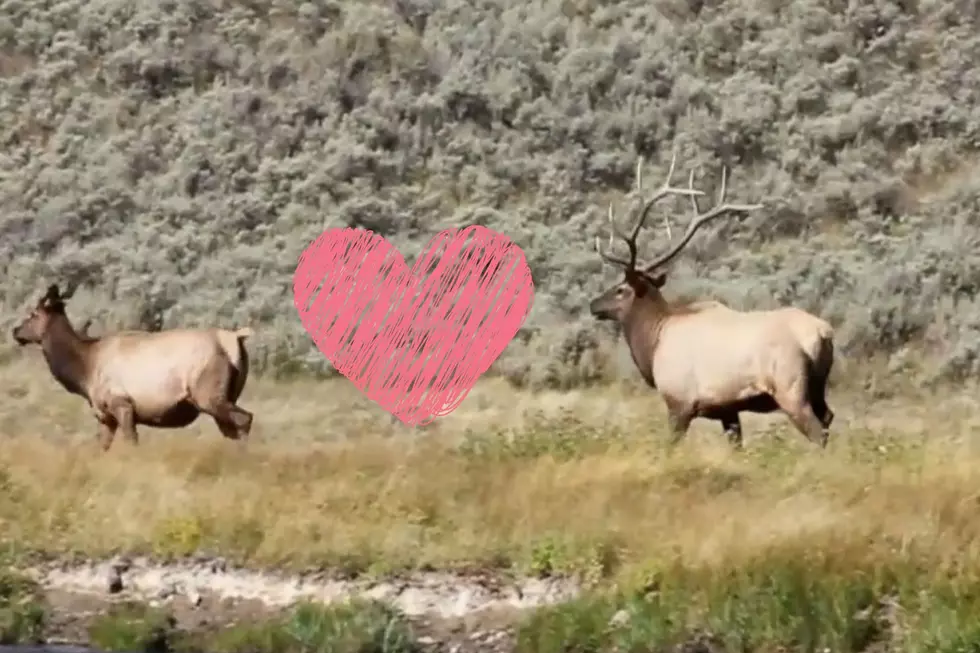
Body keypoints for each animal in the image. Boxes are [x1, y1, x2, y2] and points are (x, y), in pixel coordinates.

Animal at [11, 283, 256, 451]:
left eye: (33, 314)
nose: (15, 331)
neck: (84, 370)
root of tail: (236, 338)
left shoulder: (122, 404)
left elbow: (131, 442)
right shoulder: (104, 416)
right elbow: (101, 447)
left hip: (208, 394)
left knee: (245, 419)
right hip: (227, 395)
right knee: (232, 429)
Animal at [588, 153, 836, 449]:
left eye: (620, 289)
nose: (593, 304)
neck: (653, 342)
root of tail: (823, 334)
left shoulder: (679, 403)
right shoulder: (727, 410)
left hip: (790, 388)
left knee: (817, 431)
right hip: (818, 388)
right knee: (829, 418)